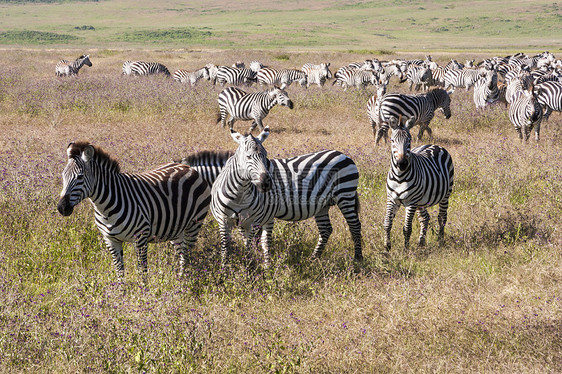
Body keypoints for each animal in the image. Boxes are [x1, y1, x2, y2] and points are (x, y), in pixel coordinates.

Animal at [57, 142, 210, 280]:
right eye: (63, 175)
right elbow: (119, 272)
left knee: (187, 255)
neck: (105, 209)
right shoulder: (111, 241)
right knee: (181, 253)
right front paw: (121, 293)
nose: (61, 208)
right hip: (176, 229)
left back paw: (184, 284)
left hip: (194, 224)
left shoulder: (140, 238)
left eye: (80, 177)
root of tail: (188, 167)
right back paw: (180, 279)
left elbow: (142, 272)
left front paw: (143, 292)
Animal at [382, 117, 452, 251]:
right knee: (425, 218)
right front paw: (386, 248)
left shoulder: (411, 202)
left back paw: (440, 241)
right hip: (421, 201)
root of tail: (434, 144)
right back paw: (421, 242)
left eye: (409, 141)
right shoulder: (391, 199)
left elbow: (407, 228)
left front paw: (406, 250)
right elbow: (387, 223)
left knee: (442, 217)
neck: (399, 177)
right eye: (392, 141)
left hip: (445, 195)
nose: (402, 164)